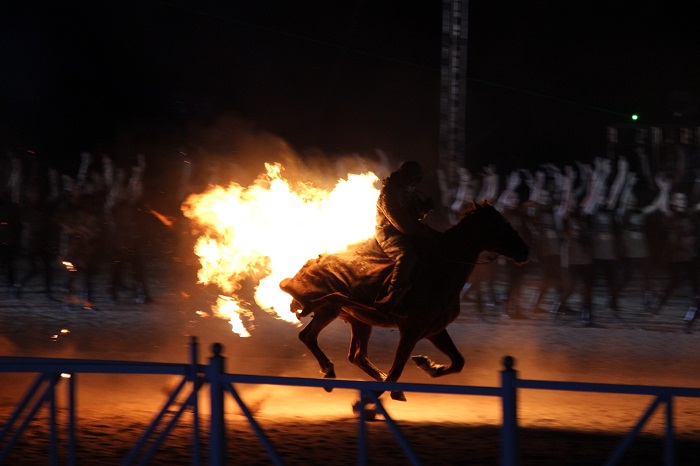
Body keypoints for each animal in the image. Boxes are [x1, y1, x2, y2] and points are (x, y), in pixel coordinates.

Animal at [278, 200, 524, 400]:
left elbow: (458, 362)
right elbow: (396, 371)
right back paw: (330, 371)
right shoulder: (410, 332)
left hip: (359, 320)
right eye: (498, 224)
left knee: (356, 355)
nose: (525, 250)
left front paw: (428, 365)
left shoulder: (433, 330)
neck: (440, 273)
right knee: (309, 337)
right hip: (329, 310)